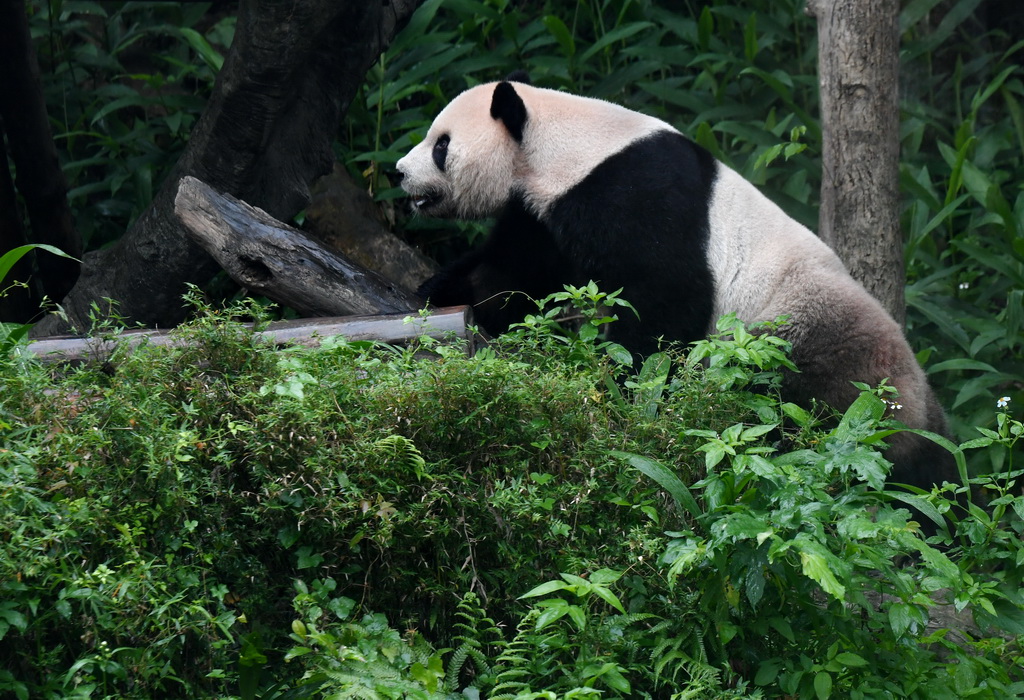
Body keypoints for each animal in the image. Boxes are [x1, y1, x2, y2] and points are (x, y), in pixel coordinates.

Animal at [395, 71, 954, 487]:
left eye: (441, 145)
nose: (399, 171)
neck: (559, 147)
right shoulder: (540, 216)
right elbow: (510, 275)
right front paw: (435, 295)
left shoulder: (636, 198)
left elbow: (663, 307)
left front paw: (623, 389)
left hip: (808, 344)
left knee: (805, 412)